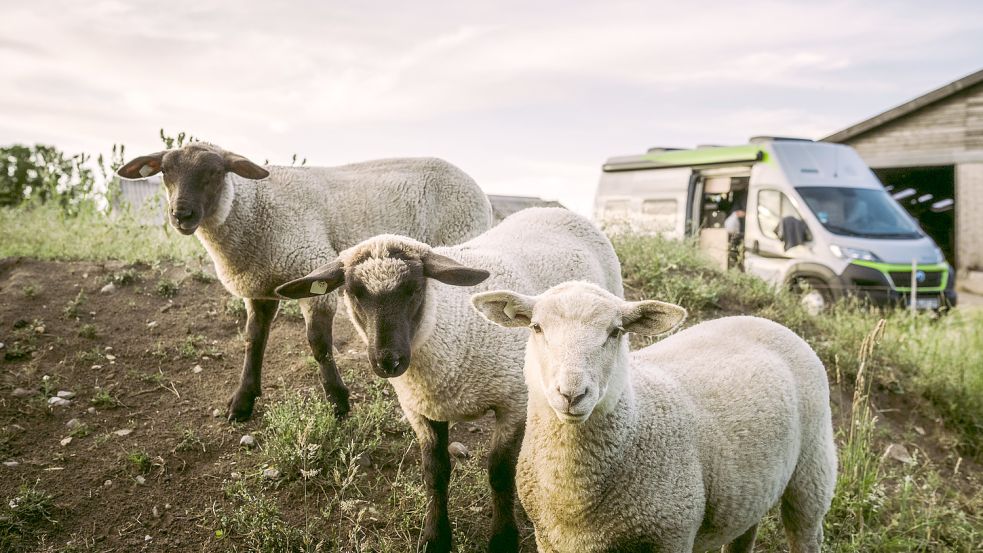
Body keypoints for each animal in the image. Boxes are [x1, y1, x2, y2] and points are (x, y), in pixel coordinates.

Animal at [119, 142, 492, 418]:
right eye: (166, 172)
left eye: (214, 172)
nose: (181, 215)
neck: (254, 210)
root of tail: (475, 185)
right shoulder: (260, 288)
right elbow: (253, 340)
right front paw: (242, 401)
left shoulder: (312, 269)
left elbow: (318, 344)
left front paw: (339, 401)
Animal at [272, 208, 624, 552]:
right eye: (354, 293)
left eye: (414, 289)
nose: (388, 361)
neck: (450, 325)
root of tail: (555, 209)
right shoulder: (422, 409)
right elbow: (435, 472)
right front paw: (435, 537)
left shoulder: (512, 403)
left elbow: (499, 473)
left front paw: (503, 539)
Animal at [472, 282, 836, 548]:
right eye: (536, 327)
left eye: (615, 332)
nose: (572, 394)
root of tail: (765, 321)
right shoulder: (548, 538)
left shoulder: (672, 534)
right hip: (752, 486)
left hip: (813, 469)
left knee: (805, 531)